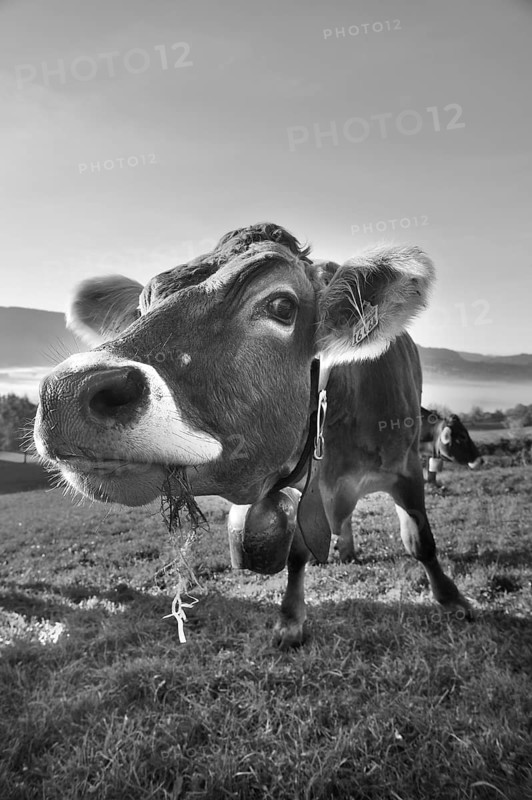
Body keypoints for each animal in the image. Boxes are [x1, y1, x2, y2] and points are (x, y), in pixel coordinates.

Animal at [34, 223, 472, 648]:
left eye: (281, 306)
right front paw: (291, 621)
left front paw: (451, 599)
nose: (66, 393)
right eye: (141, 308)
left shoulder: (408, 466)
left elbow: (421, 539)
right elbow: (297, 554)